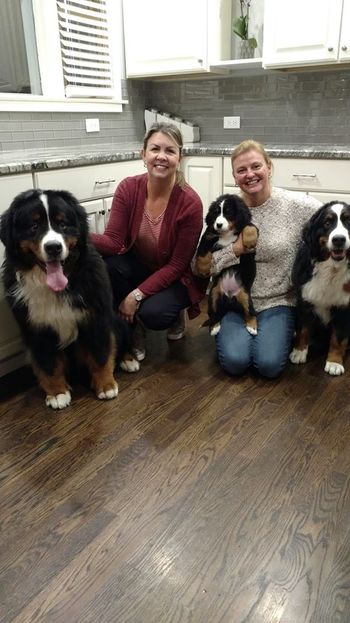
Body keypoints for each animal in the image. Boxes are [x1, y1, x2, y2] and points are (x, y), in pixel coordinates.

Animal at [0, 189, 139, 410]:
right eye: (34, 226)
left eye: (63, 224)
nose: (53, 247)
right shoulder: (37, 329)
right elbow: (49, 365)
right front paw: (57, 393)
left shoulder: (96, 319)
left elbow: (100, 354)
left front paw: (106, 386)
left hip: (117, 319)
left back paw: (130, 360)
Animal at [194, 193, 258, 336]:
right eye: (216, 212)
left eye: (228, 212)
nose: (218, 224)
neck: (227, 233)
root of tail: (229, 299)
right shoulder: (208, 236)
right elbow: (202, 253)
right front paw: (203, 269)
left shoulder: (248, 226)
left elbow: (250, 227)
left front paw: (250, 241)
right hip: (213, 295)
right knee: (214, 314)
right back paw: (214, 327)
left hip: (245, 296)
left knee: (250, 313)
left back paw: (252, 327)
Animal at [292, 200, 350, 376]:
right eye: (327, 223)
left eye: (349, 221)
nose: (339, 239)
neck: (331, 269)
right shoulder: (304, 299)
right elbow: (303, 329)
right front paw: (299, 352)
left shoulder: (344, 307)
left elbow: (338, 338)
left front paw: (334, 362)